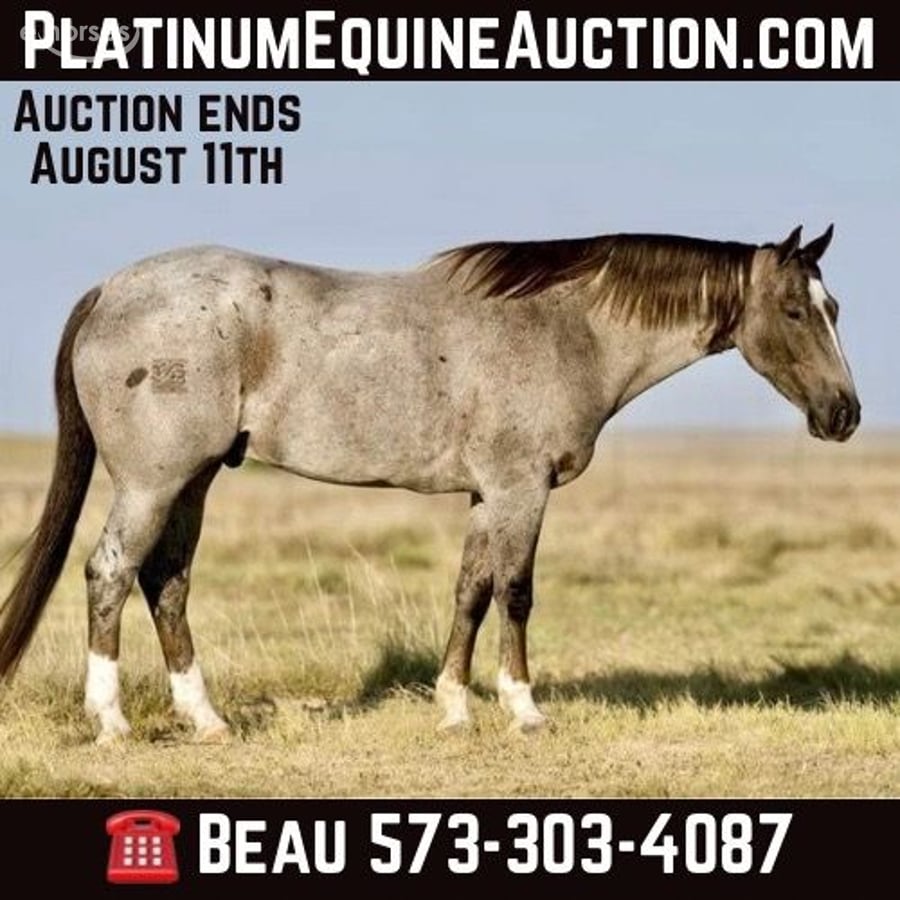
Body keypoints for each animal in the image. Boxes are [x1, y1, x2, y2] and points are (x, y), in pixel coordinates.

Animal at [0, 224, 860, 741]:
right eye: (794, 310)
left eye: (835, 307)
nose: (844, 414)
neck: (565, 328)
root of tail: (111, 289)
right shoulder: (521, 490)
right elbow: (515, 592)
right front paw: (523, 709)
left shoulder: (488, 496)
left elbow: (469, 591)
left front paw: (452, 707)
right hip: (154, 481)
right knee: (111, 572)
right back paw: (110, 721)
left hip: (196, 480)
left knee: (167, 583)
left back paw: (207, 720)